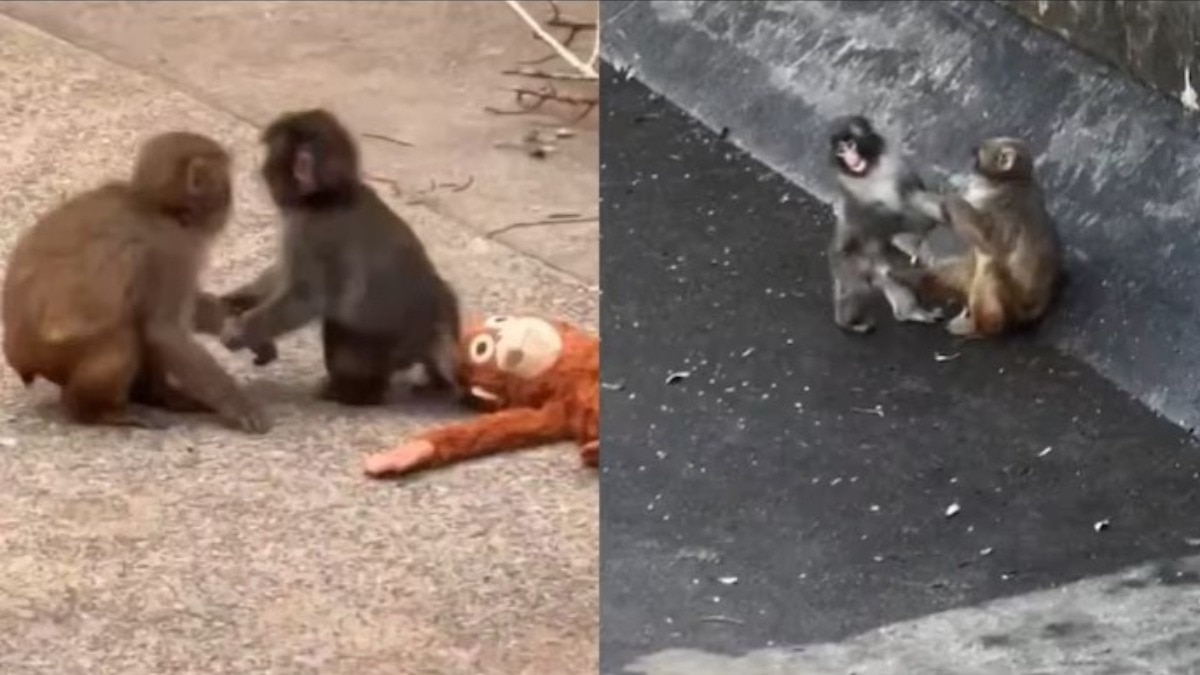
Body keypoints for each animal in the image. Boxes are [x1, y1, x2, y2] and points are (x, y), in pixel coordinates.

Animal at [1, 131, 271, 433]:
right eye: (224, 183)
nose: (230, 199)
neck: (157, 209)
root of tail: (18, 356)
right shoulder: (171, 250)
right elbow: (165, 332)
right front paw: (240, 404)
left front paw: (242, 326)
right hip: (53, 352)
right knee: (123, 332)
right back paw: (95, 411)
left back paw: (159, 396)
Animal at [218, 109, 462, 407]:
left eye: (271, 165)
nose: (263, 174)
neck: (328, 197)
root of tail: (434, 326)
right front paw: (241, 298)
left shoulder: (311, 229)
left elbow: (305, 297)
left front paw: (242, 331)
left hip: (388, 343)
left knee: (341, 323)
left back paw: (357, 392)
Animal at [826, 115, 948, 334]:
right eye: (840, 150)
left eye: (850, 144)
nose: (850, 158)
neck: (870, 172)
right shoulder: (849, 190)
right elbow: (870, 222)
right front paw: (911, 239)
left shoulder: (899, 166)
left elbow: (914, 196)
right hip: (847, 261)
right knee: (856, 288)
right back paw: (850, 323)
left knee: (890, 275)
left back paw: (909, 312)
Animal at [888, 137, 1063, 339]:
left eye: (980, 152)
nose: (972, 152)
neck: (1003, 182)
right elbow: (945, 214)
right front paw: (909, 193)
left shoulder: (1003, 205)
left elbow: (990, 242)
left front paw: (950, 199)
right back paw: (916, 276)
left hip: (1013, 308)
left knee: (989, 264)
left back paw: (982, 326)